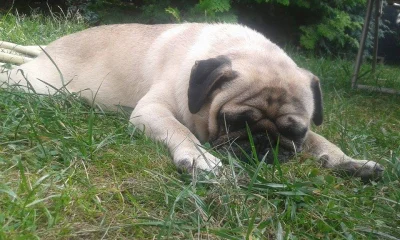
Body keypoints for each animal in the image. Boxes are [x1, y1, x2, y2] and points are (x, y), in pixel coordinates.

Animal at [0, 23, 384, 180]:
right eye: (234, 121)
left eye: (295, 132)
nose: (263, 144)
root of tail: (49, 48)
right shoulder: (152, 111)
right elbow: (179, 130)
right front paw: (200, 158)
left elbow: (324, 143)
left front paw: (351, 162)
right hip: (37, 85)